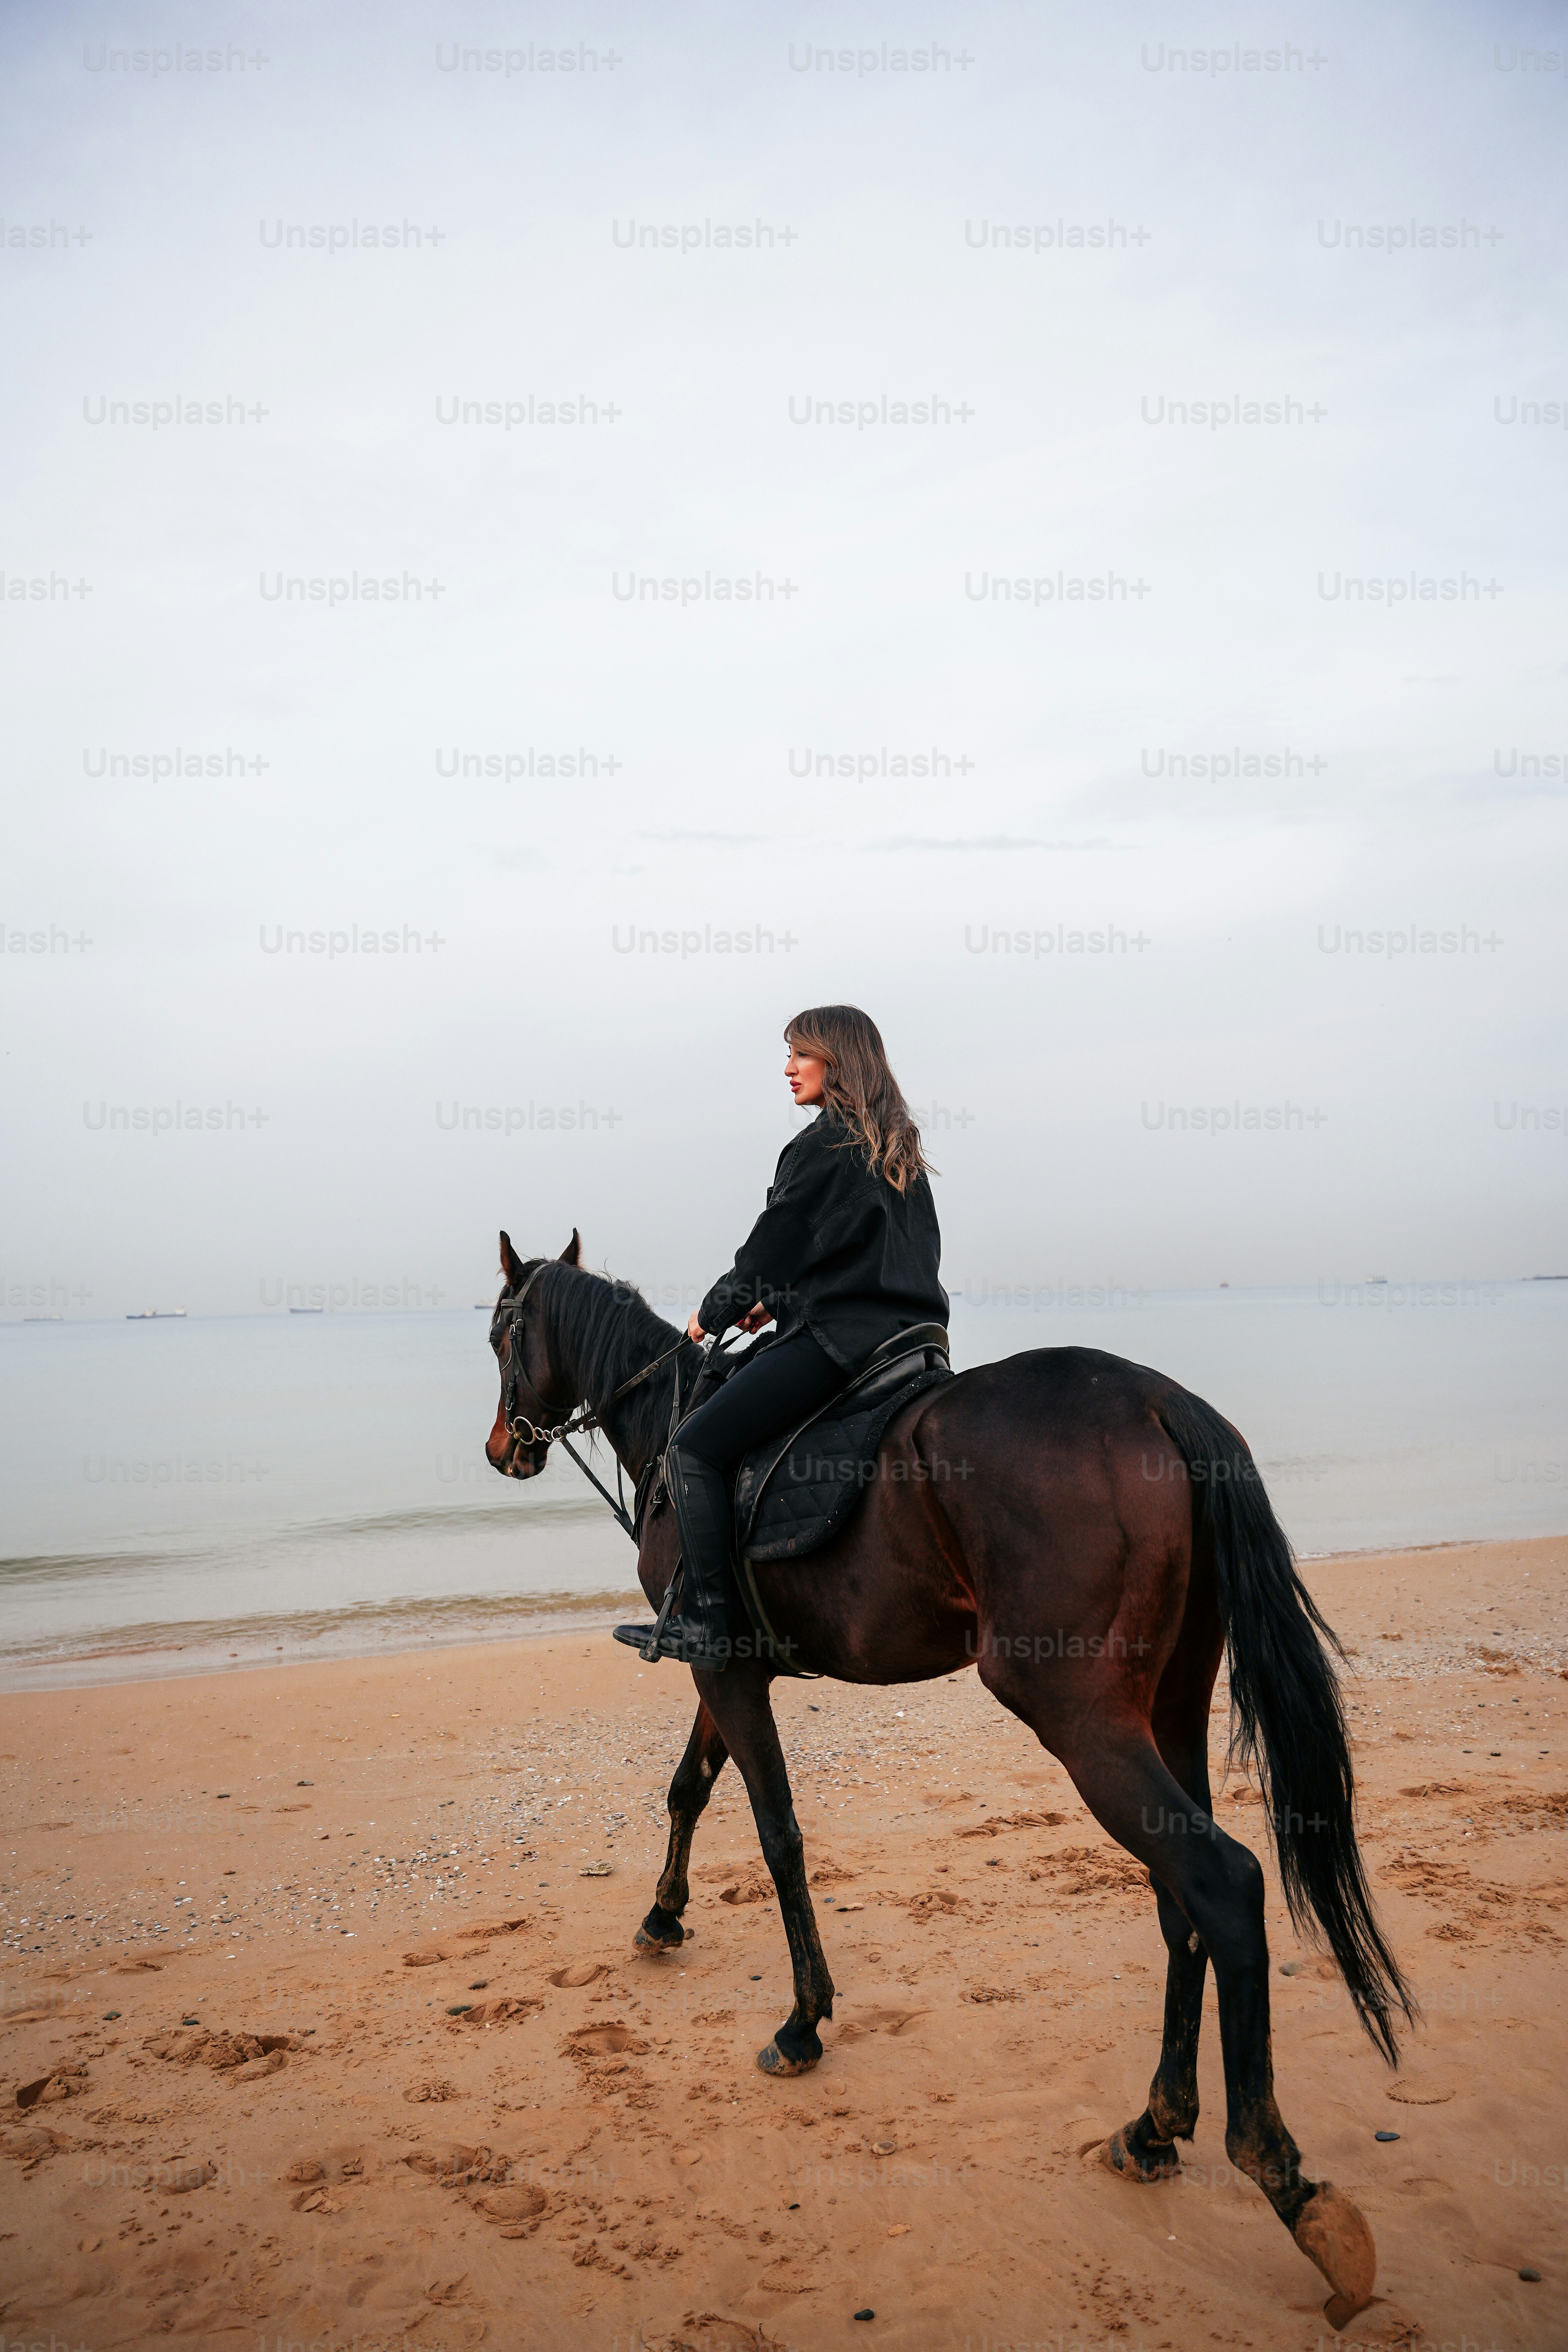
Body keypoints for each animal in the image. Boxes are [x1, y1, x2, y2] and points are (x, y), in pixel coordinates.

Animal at [484, 1230, 1412, 2330]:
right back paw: (1154, 2124)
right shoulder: (726, 1664)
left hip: (1081, 1717)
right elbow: (689, 1787)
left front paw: (803, 2019)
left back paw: (1283, 2179)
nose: (503, 1448)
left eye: (500, 1333)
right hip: (1169, 1706)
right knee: (1178, 1895)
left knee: (1221, 1884)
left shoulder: (724, 1669)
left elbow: (776, 1832)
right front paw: (664, 1914)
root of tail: (1156, 1399)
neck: (674, 1422)